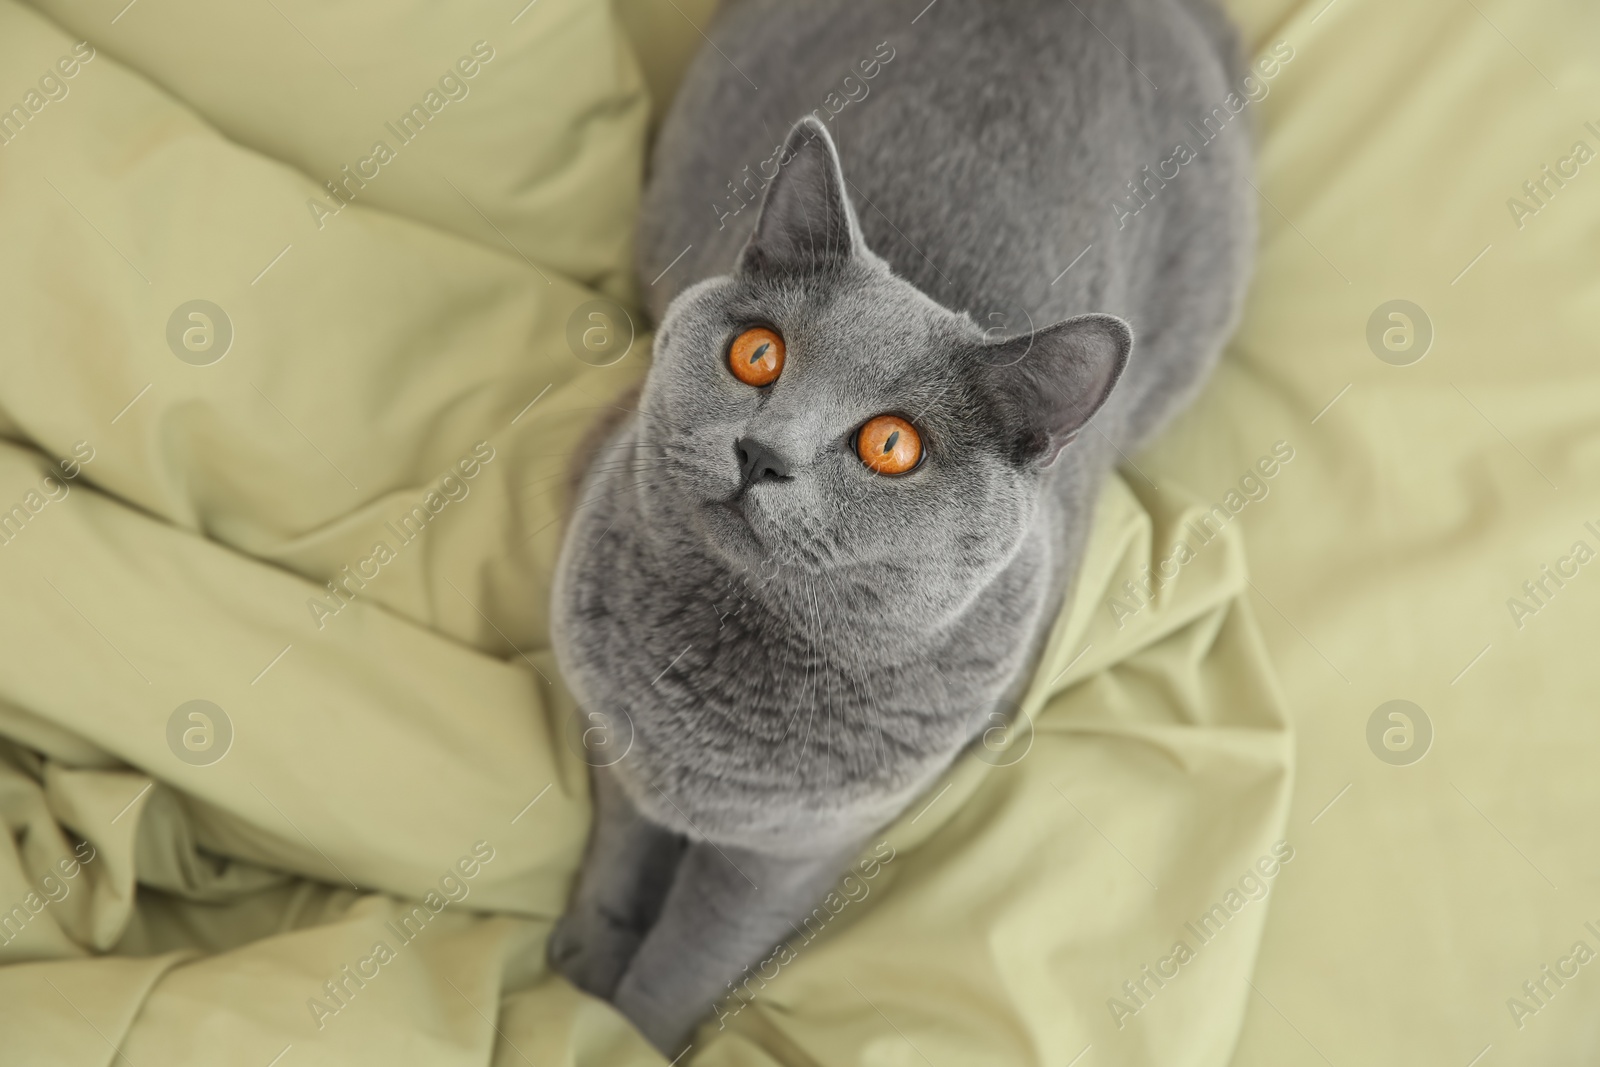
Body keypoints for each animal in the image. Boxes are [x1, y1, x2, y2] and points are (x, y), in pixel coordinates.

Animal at [550, 0, 1260, 1049]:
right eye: (757, 354)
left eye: (892, 445)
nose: (761, 452)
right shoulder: (616, 732)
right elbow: (618, 855)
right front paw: (582, 973)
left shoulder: (795, 852)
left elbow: (688, 960)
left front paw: (620, 1029)